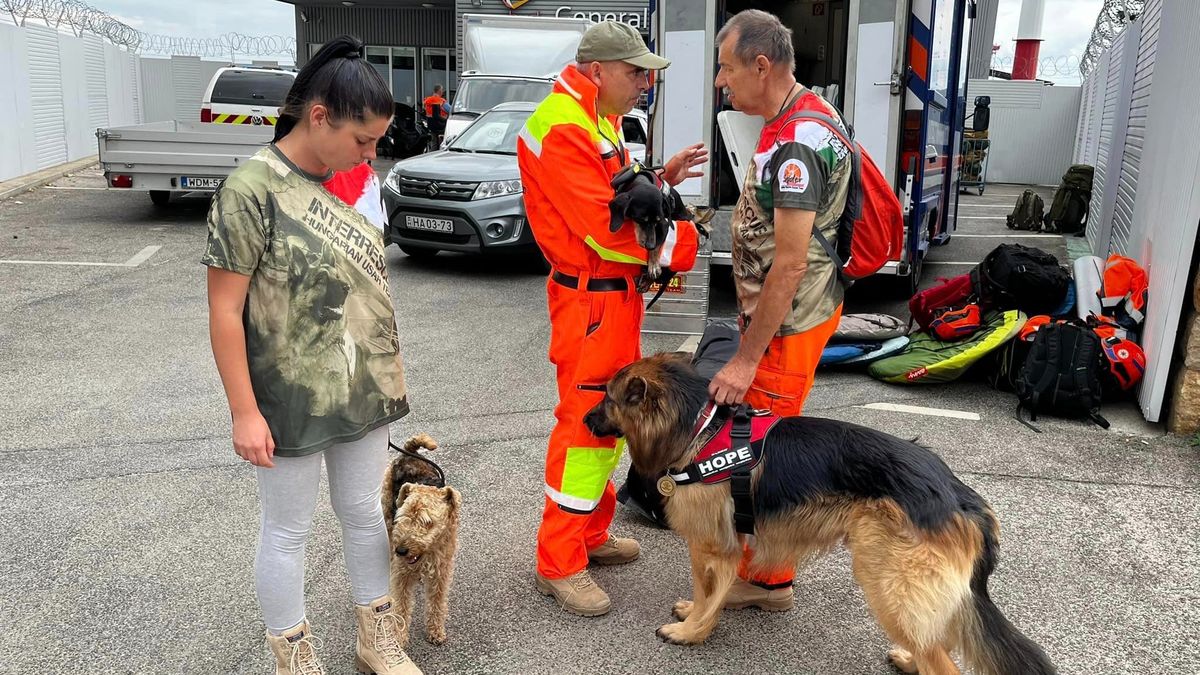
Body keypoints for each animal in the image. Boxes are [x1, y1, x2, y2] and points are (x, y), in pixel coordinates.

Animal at [381, 432, 460, 643]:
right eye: (403, 516)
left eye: (427, 522)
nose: (401, 551)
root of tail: (409, 453)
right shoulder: (402, 574)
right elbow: (401, 606)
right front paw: (399, 637)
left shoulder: (441, 572)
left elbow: (437, 602)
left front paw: (435, 631)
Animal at [585, 353, 1056, 672]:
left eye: (607, 399)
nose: (586, 421)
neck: (701, 429)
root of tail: (962, 496)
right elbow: (711, 592)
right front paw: (697, 621)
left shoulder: (712, 545)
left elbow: (706, 593)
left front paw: (691, 632)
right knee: (934, 643)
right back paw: (909, 658)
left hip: (886, 585)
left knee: (942, 663)